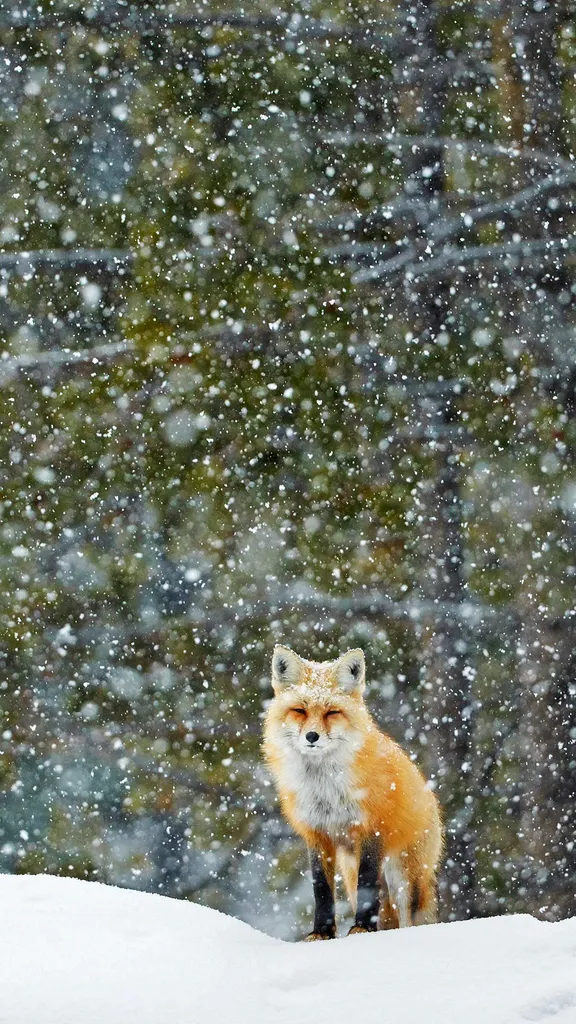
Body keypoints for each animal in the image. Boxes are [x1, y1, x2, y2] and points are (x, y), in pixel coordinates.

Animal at [263, 645, 443, 940]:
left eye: (332, 712)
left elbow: (368, 884)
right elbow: (321, 889)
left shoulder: (371, 829)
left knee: (408, 918)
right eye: (299, 710)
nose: (311, 736)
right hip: (350, 871)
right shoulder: (317, 834)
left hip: (404, 877)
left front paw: (362, 929)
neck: (324, 787)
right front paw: (321, 933)